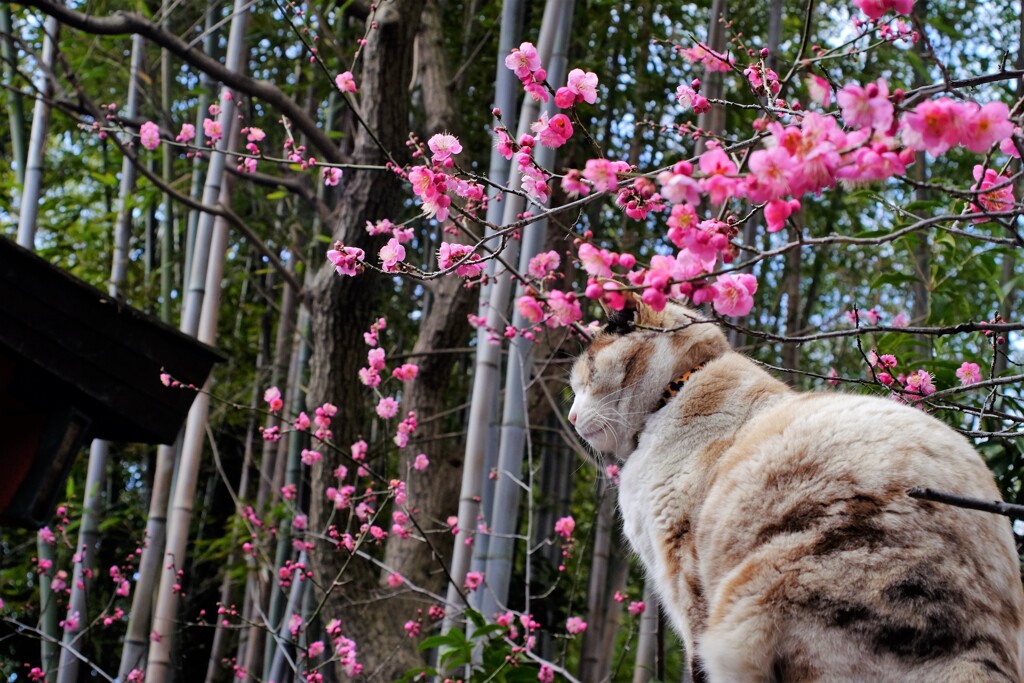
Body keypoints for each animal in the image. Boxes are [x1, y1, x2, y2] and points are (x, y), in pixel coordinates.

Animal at [569, 294, 1024, 683]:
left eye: (585, 380)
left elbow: (694, 664)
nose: (571, 418)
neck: (673, 394)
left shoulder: (684, 579)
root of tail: (981, 656)